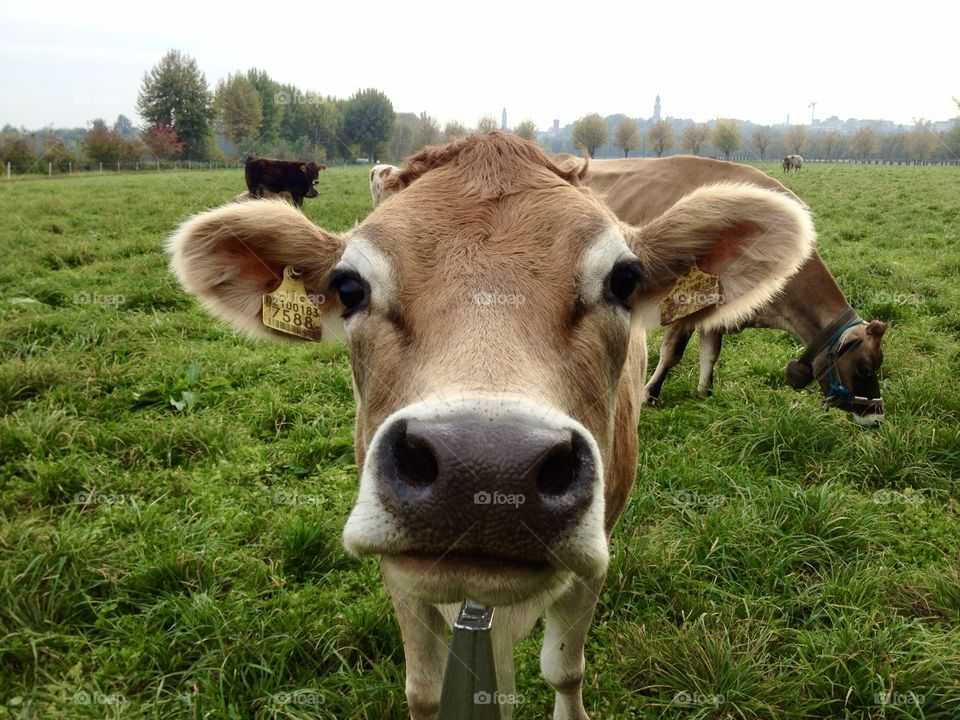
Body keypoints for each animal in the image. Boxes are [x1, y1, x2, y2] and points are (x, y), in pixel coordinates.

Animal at [169, 133, 815, 719]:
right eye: (348, 287)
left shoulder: (593, 558)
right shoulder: (401, 577)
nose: (483, 470)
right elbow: (427, 690)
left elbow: (564, 669)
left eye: (624, 281)